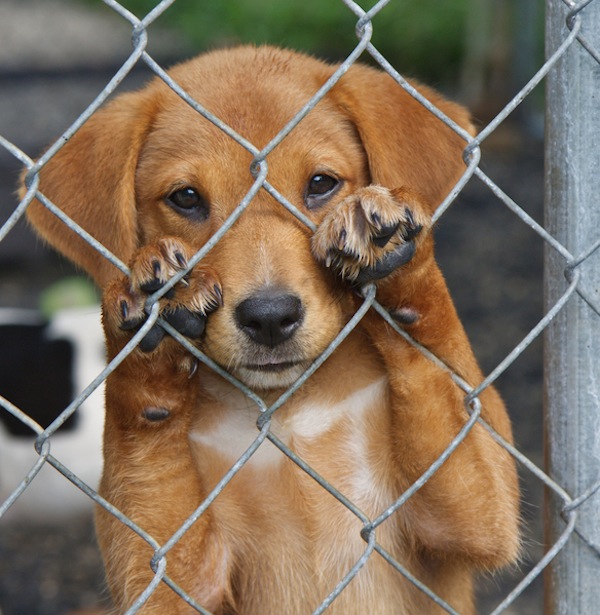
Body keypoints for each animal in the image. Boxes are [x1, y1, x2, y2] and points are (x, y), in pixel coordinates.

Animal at [23, 45, 520, 612]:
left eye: (321, 184)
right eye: (186, 198)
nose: (269, 316)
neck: (288, 409)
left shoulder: (471, 518)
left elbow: (436, 357)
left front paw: (394, 249)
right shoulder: (168, 576)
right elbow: (145, 448)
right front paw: (150, 339)